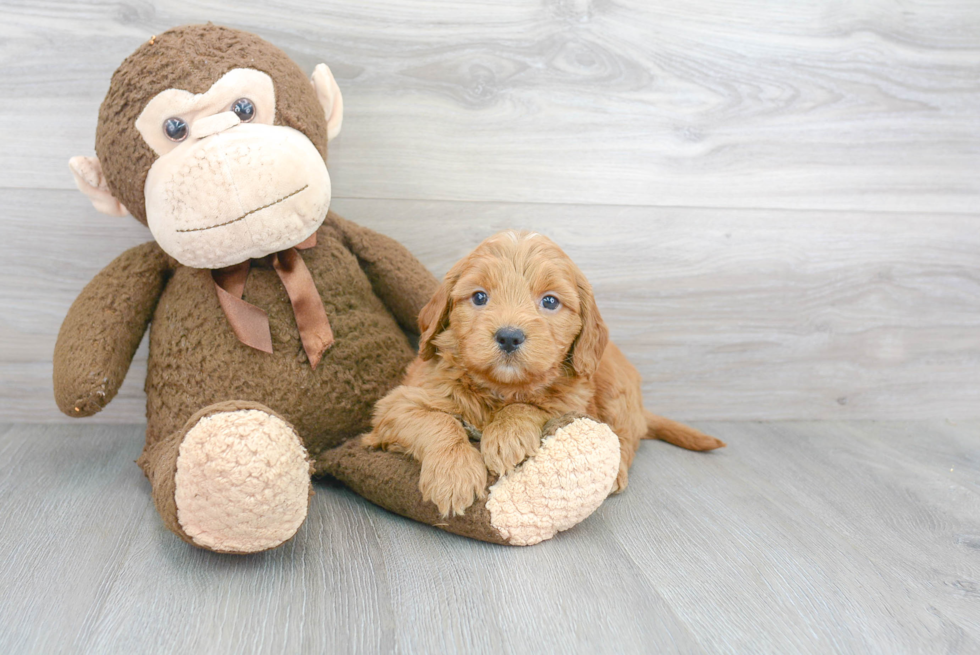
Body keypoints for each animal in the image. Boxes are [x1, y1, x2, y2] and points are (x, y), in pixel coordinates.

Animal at [364, 231, 724, 516]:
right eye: (479, 296)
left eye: (550, 302)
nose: (509, 336)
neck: (500, 389)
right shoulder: (399, 403)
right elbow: (438, 422)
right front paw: (454, 475)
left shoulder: (573, 400)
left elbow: (531, 406)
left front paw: (506, 435)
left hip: (615, 389)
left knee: (624, 439)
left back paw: (617, 472)